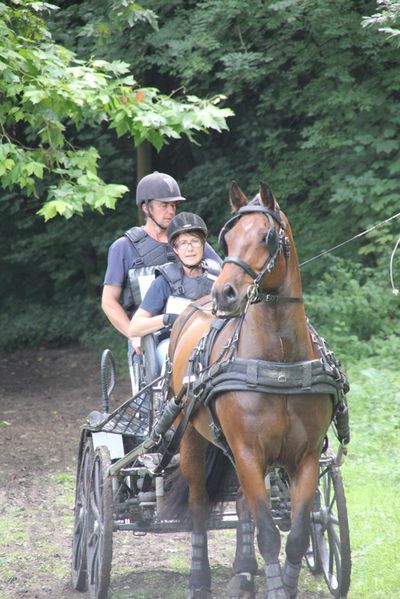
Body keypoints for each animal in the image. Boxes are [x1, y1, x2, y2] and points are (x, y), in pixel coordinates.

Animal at [166, 183, 334, 599]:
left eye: (266, 236)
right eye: (226, 239)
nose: (224, 294)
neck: (279, 361)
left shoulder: (306, 457)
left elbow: (297, 535)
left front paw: (283, 585)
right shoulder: (247, 452)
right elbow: (270, 536)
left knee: (243, 505)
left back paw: (243, 573)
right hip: (192, 439)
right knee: (198, 503)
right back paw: (199, 579)